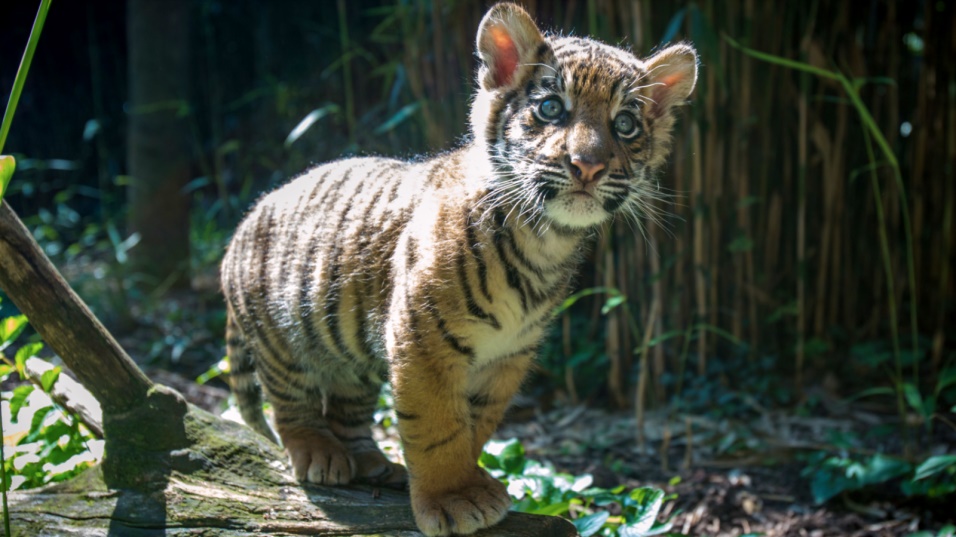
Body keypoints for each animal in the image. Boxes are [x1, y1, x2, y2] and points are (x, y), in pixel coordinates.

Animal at [220, 3, 697, 535]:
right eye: (551, 108)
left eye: (626, 124)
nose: (587, 166)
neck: (543, 241)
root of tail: (250, 215)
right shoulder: (422, 340)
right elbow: (437, 425)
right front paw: (451, 499)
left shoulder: (507, 356)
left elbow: (476, 426)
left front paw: (472, 482)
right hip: (282, 338)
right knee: (290, 402)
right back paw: (318, 453)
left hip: (351, 357)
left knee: (348, 408)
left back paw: (372, 463)